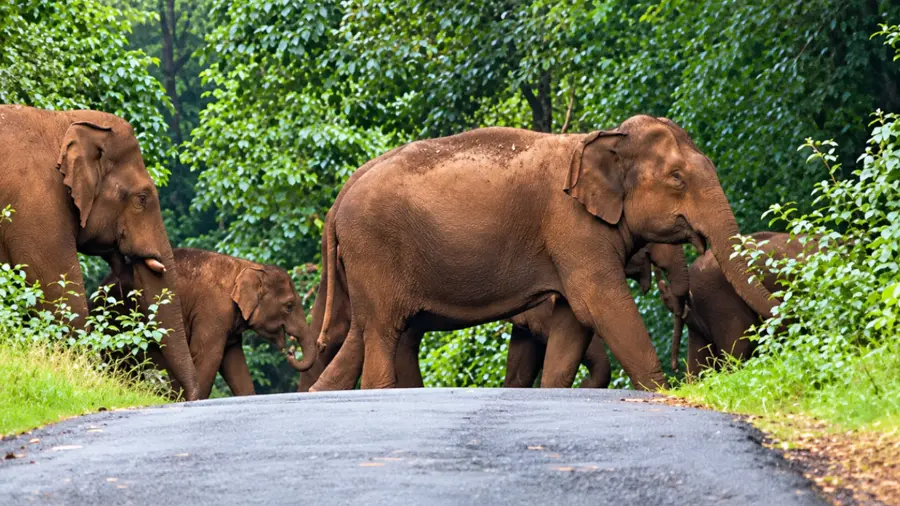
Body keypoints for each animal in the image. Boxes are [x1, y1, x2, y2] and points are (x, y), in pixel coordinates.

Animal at [97, 248, 318, 399]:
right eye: (289, 306)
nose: (290, 351)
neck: (247, 266)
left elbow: (234, 361)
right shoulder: (213, 311)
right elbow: (207, 355)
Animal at [313, 115, 776, 391]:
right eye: (677, 178)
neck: (605, 139)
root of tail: (338, 200)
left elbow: (574, 321)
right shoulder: (572, 226)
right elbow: (601, 304)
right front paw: (660, 392)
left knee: (368, 334)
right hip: (375, 249)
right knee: (383, 332)